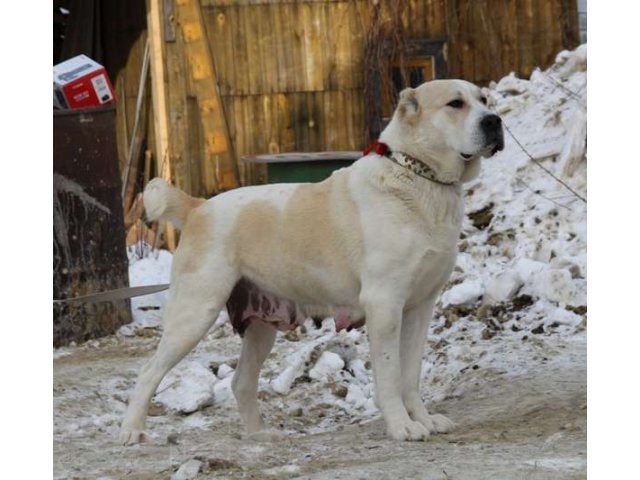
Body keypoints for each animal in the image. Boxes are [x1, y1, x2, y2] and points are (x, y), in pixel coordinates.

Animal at [117, 79, 502, 442]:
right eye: (455, 104)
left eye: (484, 100)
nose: (494, 121)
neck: (418, 177)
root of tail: (197, 207)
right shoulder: (385, 304)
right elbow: (391, 376)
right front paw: (401, 426)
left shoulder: (420, 306)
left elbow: (410, 375)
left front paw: (423, 419)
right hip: (194, 313)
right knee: (148, 371)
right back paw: (132, 431)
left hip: (259, 327)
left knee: (241, 381)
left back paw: (260, 435)